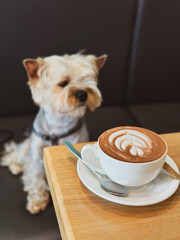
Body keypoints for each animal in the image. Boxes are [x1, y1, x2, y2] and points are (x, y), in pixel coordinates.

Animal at [0, 53, 107, 214]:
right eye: (63, 83)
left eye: (88, 79)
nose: (83, 94)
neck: (59, 125)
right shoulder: (37, 156)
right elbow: (36, 178)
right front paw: (37, 202)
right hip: (29, 144)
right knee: (20, 153)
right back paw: (15, 165)